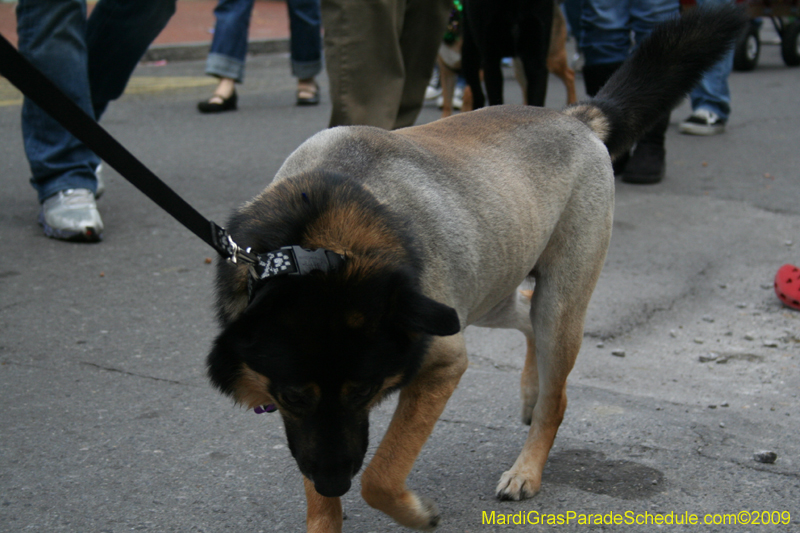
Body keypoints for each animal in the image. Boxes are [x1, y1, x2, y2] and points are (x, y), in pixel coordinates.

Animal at [206, 5, 744, 532]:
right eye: (292, 397)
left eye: (365, 391)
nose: (333, 481)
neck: (321, 244)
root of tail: (577, 117)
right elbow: (323, 492)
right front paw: (328, 509)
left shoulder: (441, 363)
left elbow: (381, 474)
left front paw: (413, 511)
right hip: (487, 288)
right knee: (525, 315)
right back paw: (531, 390)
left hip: (558, 302)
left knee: (556, 392)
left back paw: (528, 464)